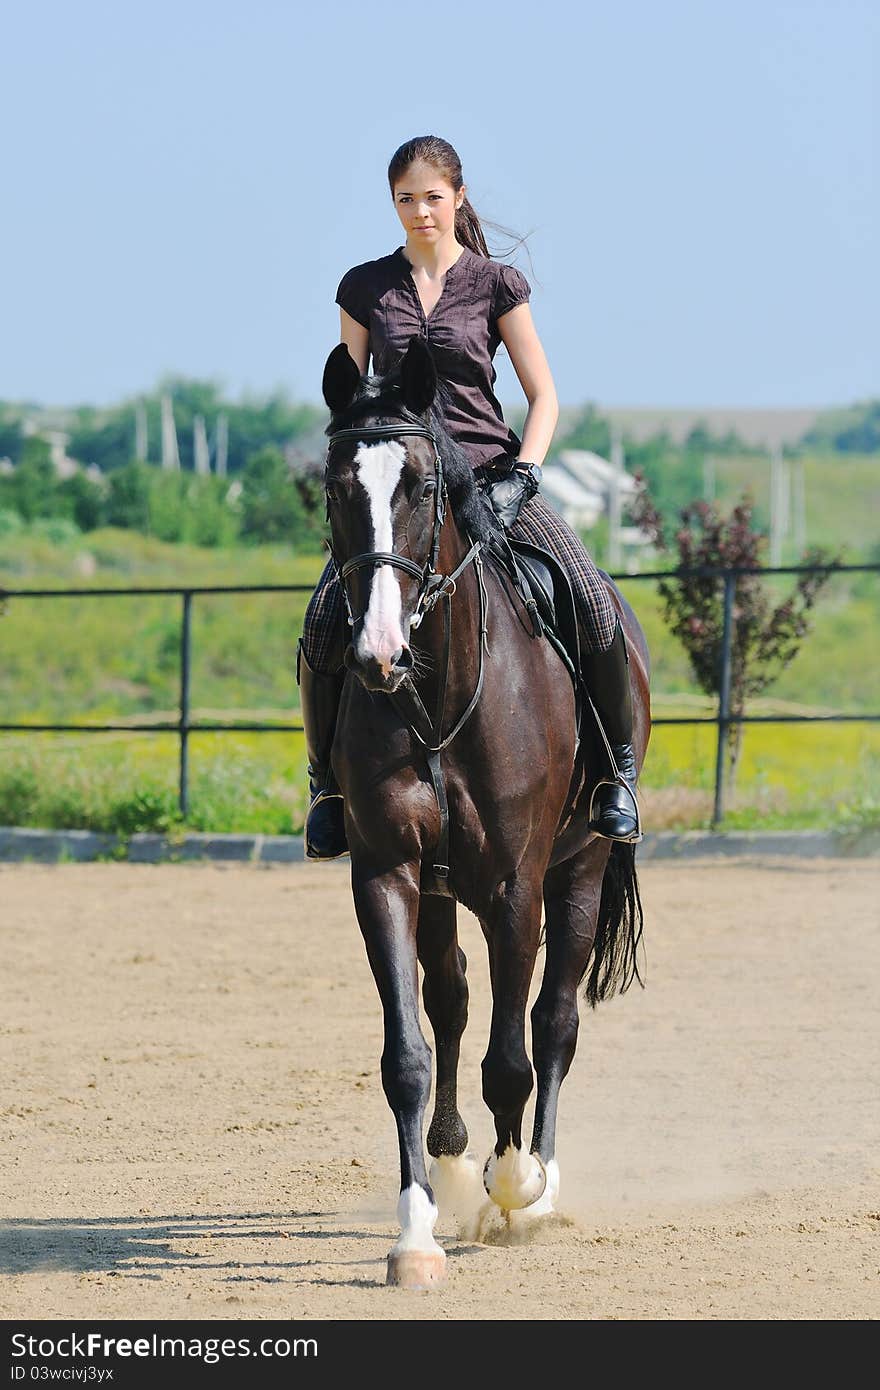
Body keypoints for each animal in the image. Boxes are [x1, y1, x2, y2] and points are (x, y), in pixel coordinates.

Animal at [319, 336, 647, 1289]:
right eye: (335, 488)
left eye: (424, 486)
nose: (378, 654)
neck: (438, 696)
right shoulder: (386, 876)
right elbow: (408, 1054)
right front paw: (417, 1232)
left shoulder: (515, 888)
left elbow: (515, 1057)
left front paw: (517, 1184)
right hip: (438, 889)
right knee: (454, 1000)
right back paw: (457, 1163)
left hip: (580, 871)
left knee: (553, 1024)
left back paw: (537, 1182)